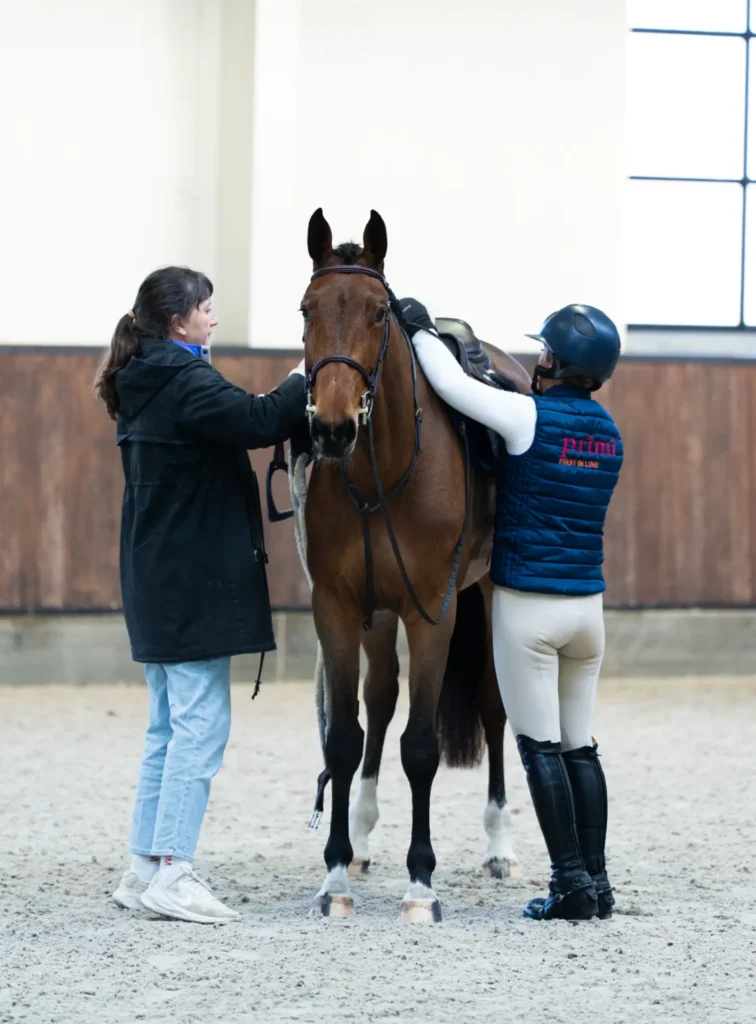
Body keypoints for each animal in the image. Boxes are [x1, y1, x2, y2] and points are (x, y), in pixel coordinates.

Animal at [287, 208, 531, 922]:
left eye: (377, 313)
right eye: (307, 309)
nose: (331, 427)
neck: (382, 472)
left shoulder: (433, 612)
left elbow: (421, 747)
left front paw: (422, 884)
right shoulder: (339, 609)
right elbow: (343, 738)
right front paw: (334, 875)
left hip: (485, 597)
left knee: (493, 705)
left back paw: (499, 845)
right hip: (377, 613)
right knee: (380, 701)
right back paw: (364, 838)